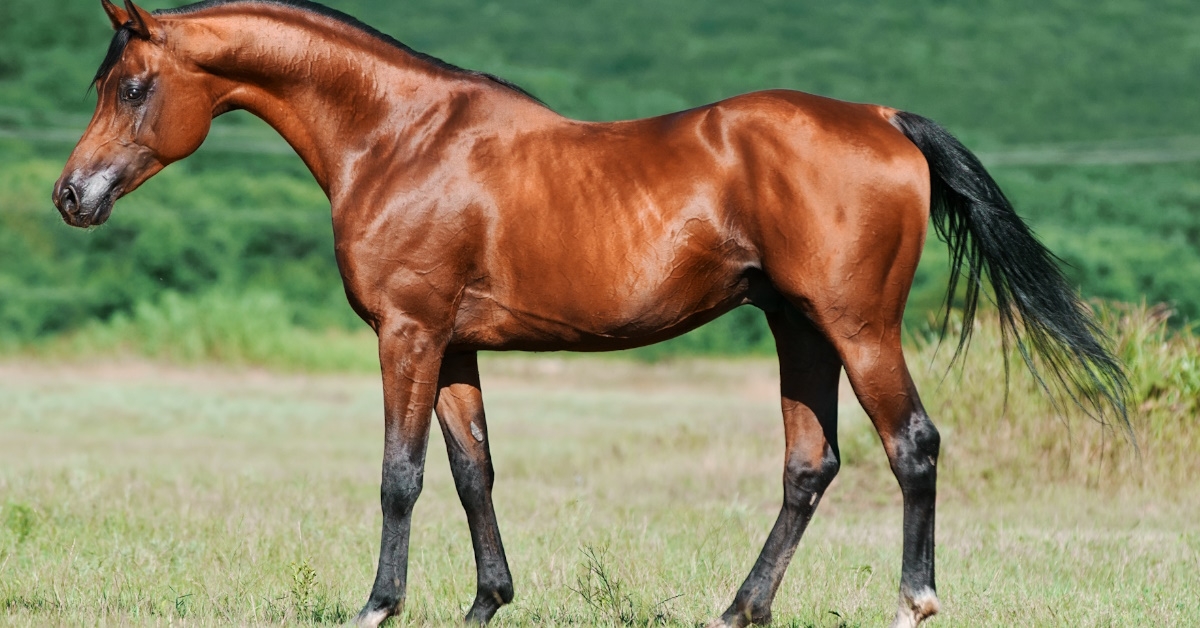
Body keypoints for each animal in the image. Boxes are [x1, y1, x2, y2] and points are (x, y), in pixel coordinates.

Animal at [54, 1, 1127, 626]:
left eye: (133, 85)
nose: (73, 196)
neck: (399, 138)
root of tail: (882, 119)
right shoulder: (453, 348)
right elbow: (473, 474)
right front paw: (487, 604)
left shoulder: (407, 335)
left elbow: (402, 477)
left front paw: (377, 608)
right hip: (798, 328)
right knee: (809, 465)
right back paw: (737, 610)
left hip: (858, 327)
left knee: (913, 445)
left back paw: (912, 602)